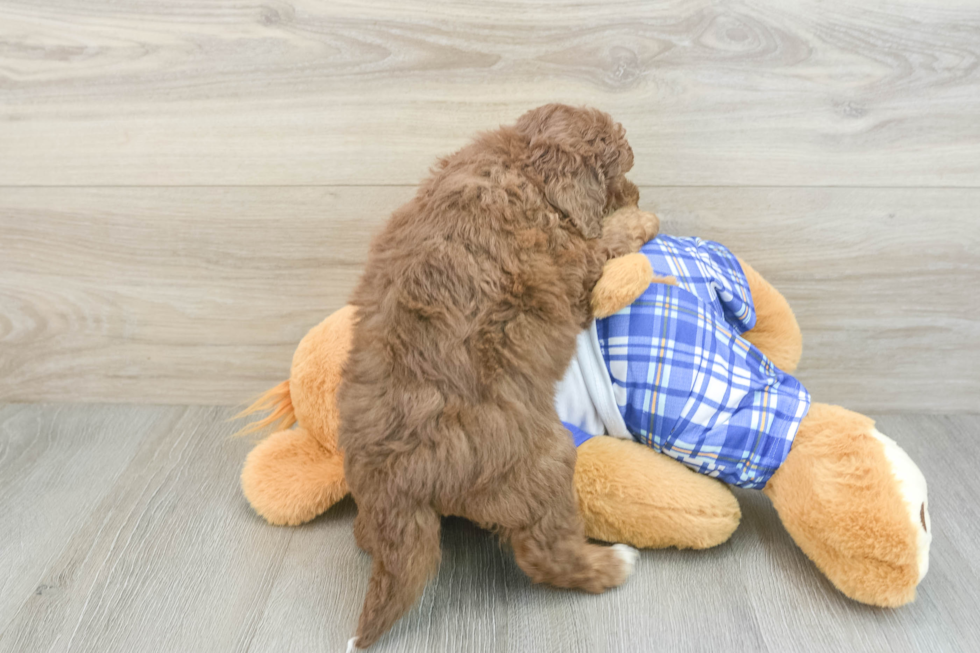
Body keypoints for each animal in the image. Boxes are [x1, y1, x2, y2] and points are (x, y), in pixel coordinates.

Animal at [336, 103, 660, 648]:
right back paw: (612, 563)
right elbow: (605, 241)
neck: (520, 162)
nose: (637, 193)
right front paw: (641, 218)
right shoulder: (575, 261)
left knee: (366, 536)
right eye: (619, 174)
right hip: (541, 461)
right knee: (543, 552)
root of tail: (397, 478)